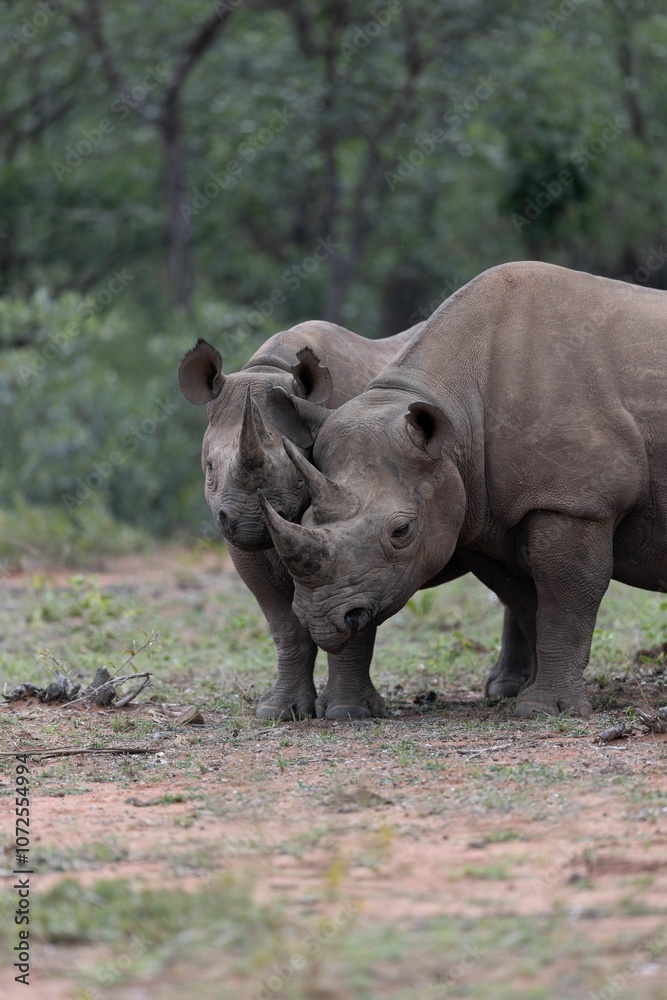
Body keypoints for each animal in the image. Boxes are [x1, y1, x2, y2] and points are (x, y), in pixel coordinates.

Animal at [261, 260, 667, 717]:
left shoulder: (577, 503)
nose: (321, 621)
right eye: (305, 516)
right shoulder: (482, 509)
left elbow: (563, 603)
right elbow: (527, 602)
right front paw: (529, 696)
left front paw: (544, 709)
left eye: (401, 532)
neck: (457, 410)